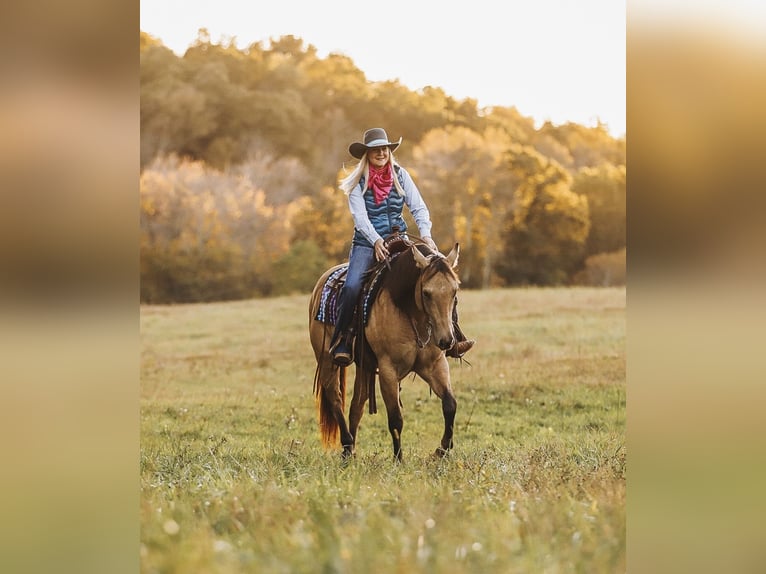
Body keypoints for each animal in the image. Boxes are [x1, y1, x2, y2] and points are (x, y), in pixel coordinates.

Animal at [308, 240, 464, 464]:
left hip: (364, 366)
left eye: (454, 291)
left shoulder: (435, 365)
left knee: (357, 403)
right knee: (334, 396)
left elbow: (450, 405)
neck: (409, 311)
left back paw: (352, 450)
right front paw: (398, 459)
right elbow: (395, 418)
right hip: (327, 360)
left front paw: (441, 450)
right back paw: (346, 446)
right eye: (426, 293)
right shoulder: (388, 370)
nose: (446, 340)